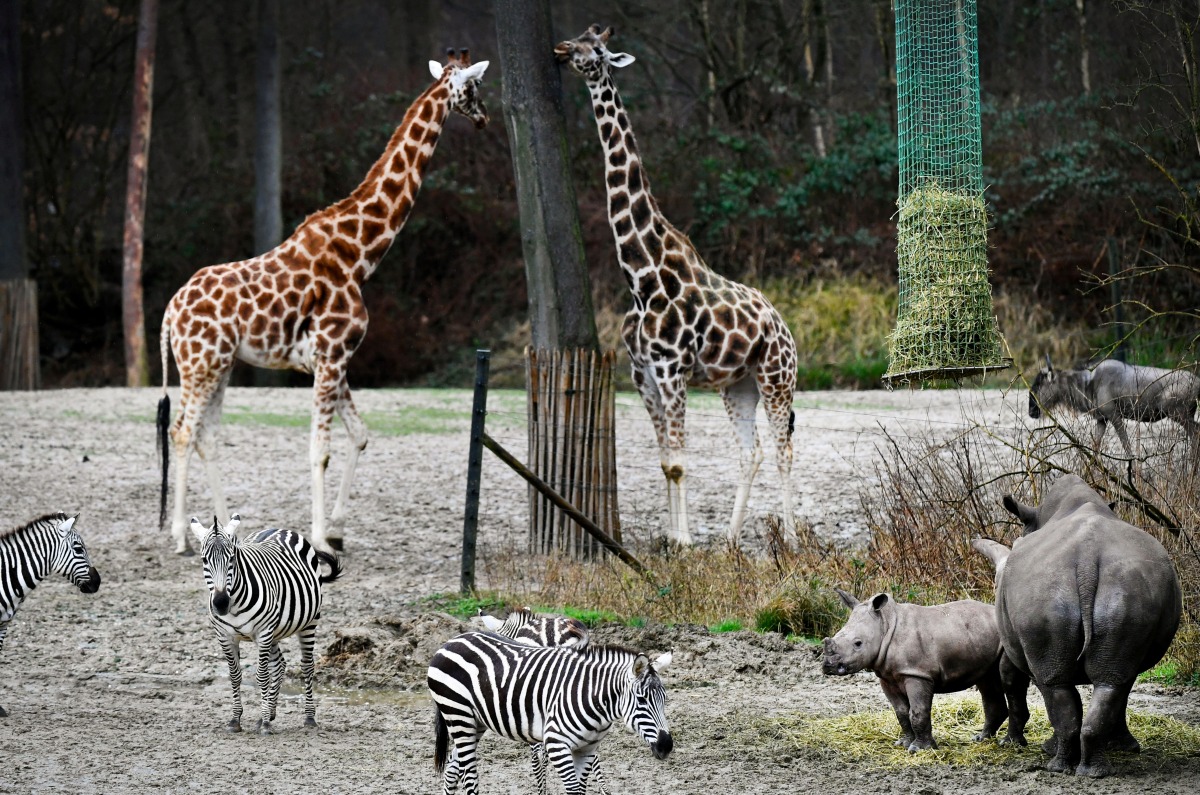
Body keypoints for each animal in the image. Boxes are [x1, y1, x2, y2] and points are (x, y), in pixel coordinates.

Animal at [158, 52, 487, 557]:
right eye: (474, 89)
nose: (486, 118)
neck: (359, 253)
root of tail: (169, 313)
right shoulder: (331, 357)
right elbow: (320, 450)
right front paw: (319, 540)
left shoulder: (335, 360)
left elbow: (361, 436)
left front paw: (336, 529)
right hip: (201, 364)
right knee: (182, 431)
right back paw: (179, 536)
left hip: (221, 366)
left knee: (205, 436)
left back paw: (223, 534)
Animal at [190, 516, 343, 734]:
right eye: (204, 560)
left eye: (232, 559)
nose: (220, 603)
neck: (234, 604)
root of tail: (279, 529)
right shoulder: (225, 636)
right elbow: (234, 675)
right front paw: (236, 719)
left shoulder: (263, 633)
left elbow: (262, 676)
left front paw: (264, 724)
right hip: (275, 631)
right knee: (279, 665)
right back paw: (270, 713)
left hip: (309, 622)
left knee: (307, 666)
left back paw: (309, 717)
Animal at [424, 634, 672, 792]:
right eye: (641, 700)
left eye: (665, 700)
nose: (666, 746)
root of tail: (452, 641)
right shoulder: (556, 744)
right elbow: (572, 789)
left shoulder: (587, 749)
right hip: (458, 715)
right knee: (469, 775)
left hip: (476, 722)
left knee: (452, 768)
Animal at [552, 24, 796, 547]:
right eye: (577, 36)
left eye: (596, 48)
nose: (561, 50)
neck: (641, 276)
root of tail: (784, 327)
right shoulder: (641, 373)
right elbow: (666, 462)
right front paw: (669, 538)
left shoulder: (672, 370)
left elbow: (681, 463)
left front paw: (683, 542)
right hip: (737, 385)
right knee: (751, 451)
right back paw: (729, 541)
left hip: (776, 378)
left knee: (783, 449)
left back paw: (791, 537)